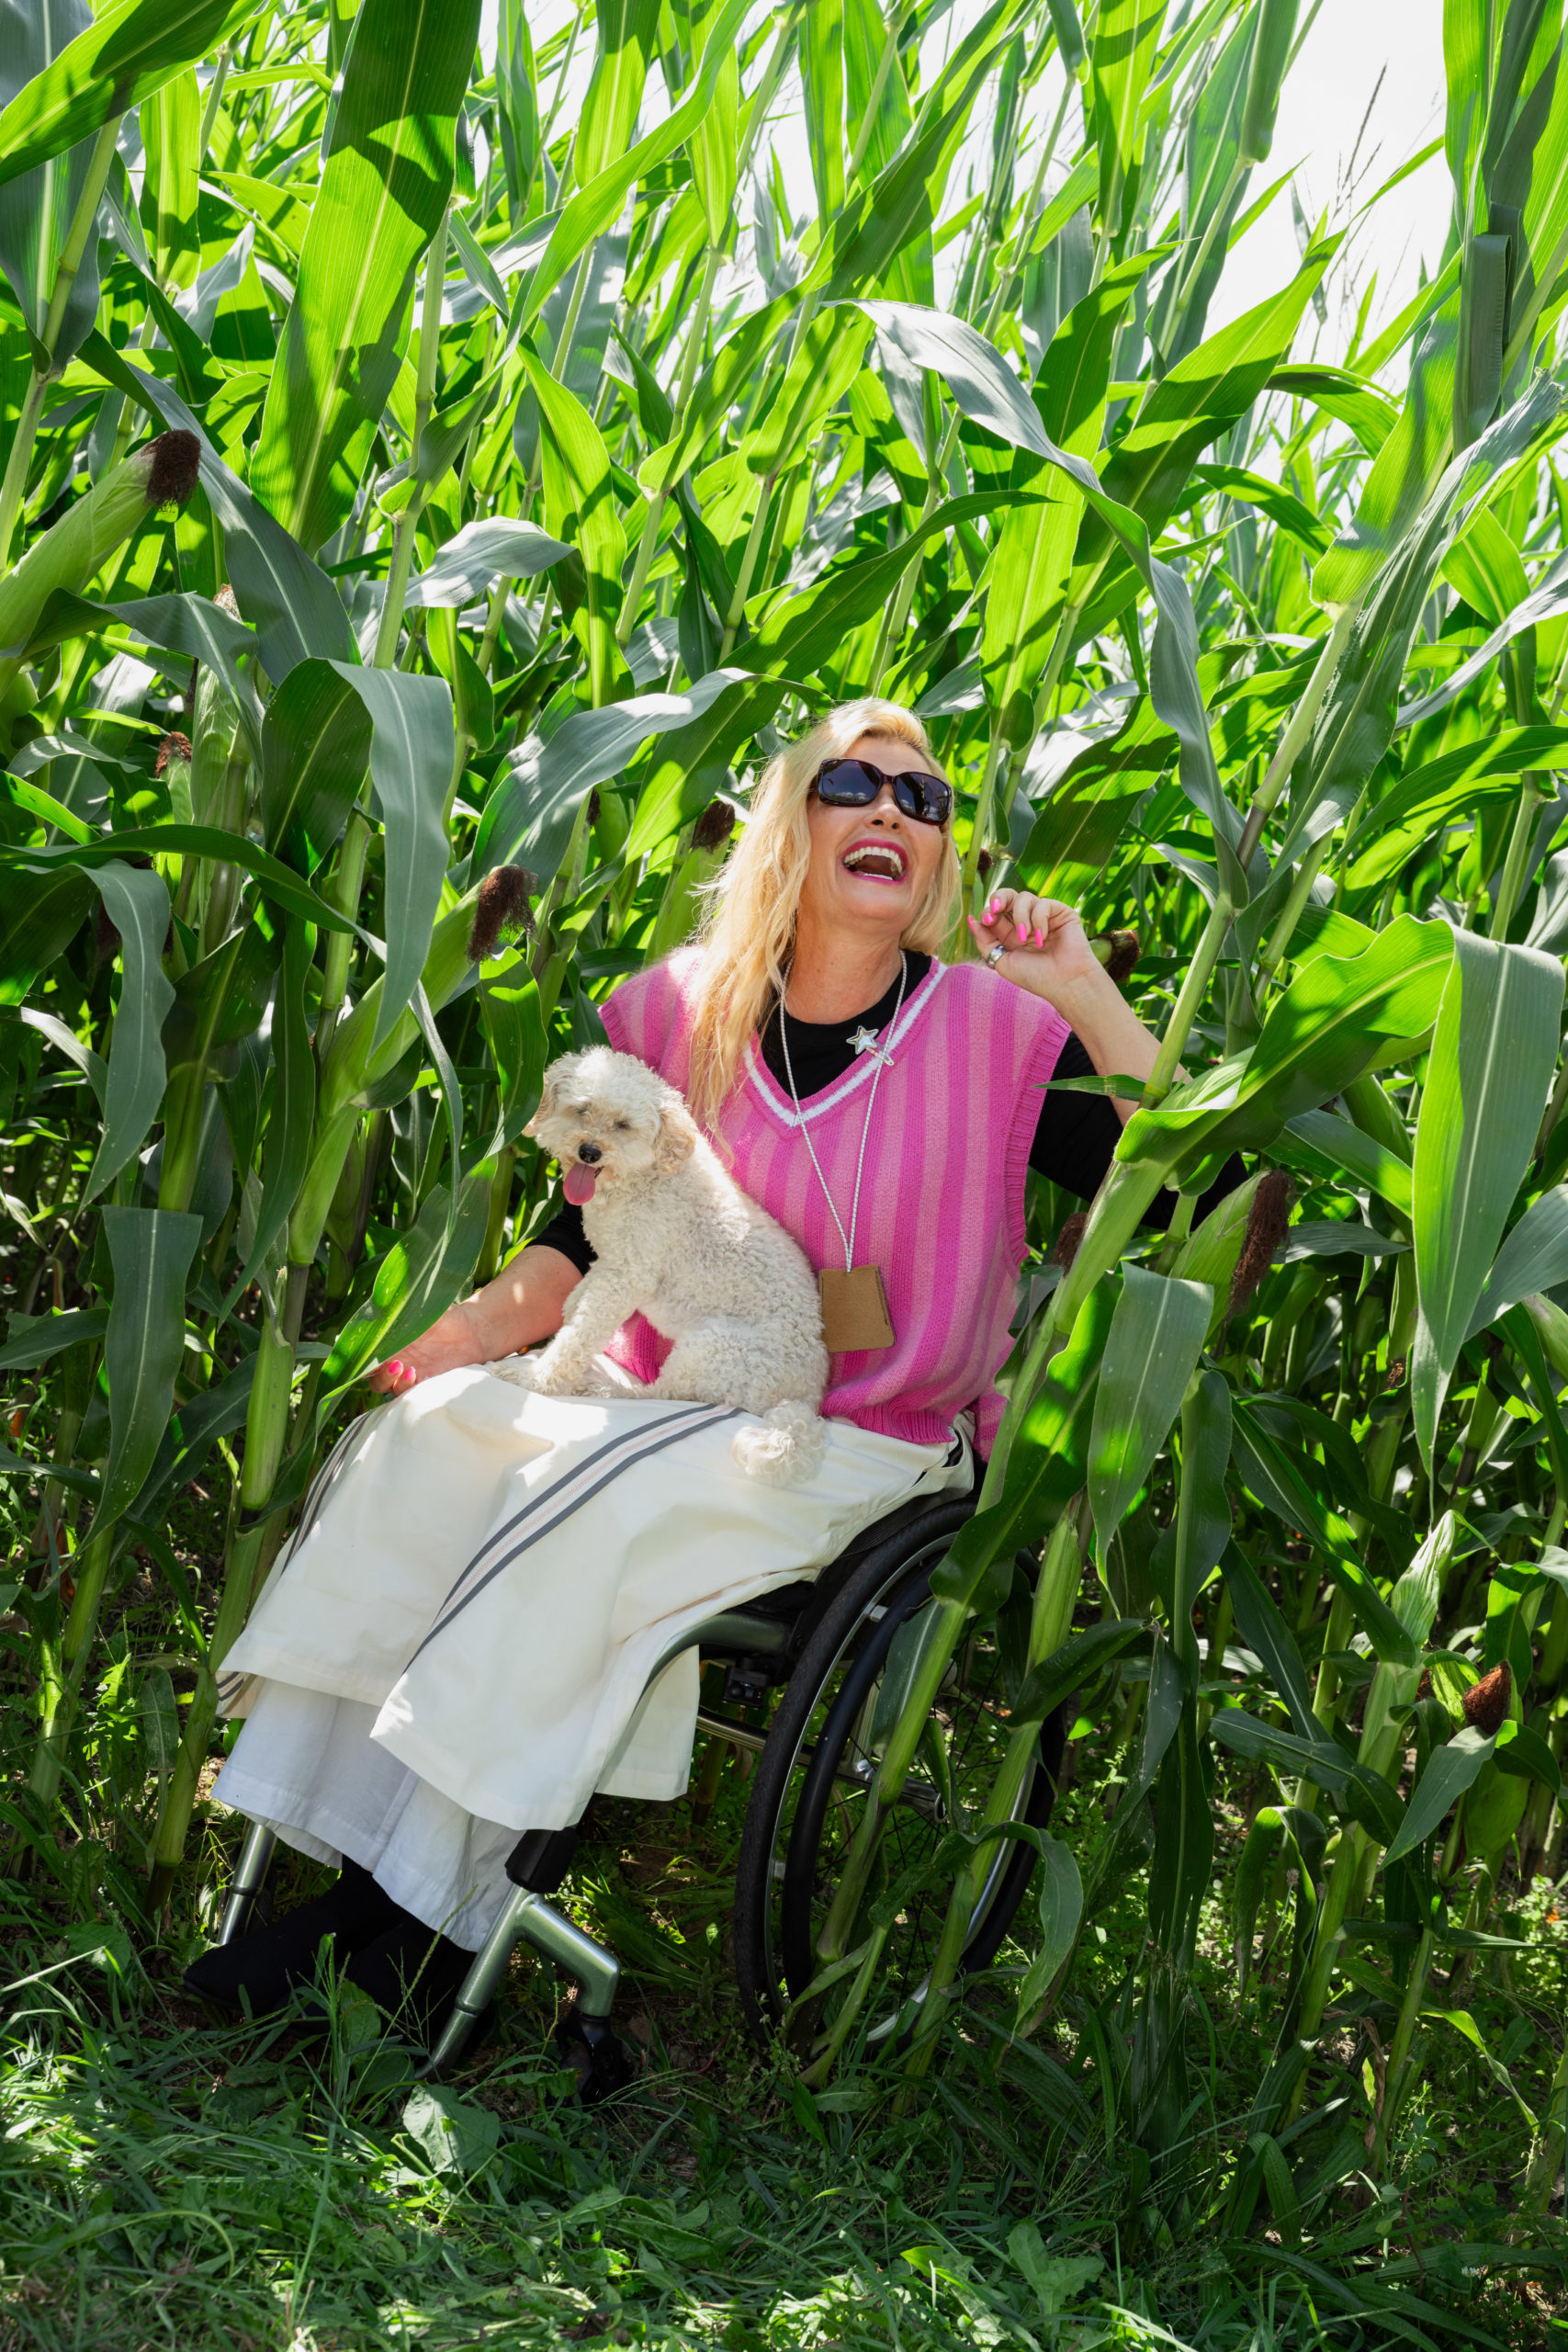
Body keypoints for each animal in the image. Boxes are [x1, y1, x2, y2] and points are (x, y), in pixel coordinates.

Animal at [488, 1047, 830, 1485]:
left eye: (624, 1125)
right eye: (582, 1109)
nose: (589, 1151)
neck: (643, 1177)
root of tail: (804, 1399)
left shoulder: (627, 1275)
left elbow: (580, 1336)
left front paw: (537, 1378)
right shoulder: (610, 1261)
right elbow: (577, 1304)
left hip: (714, 1348)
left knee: (662, 1394)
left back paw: (603, 1392)